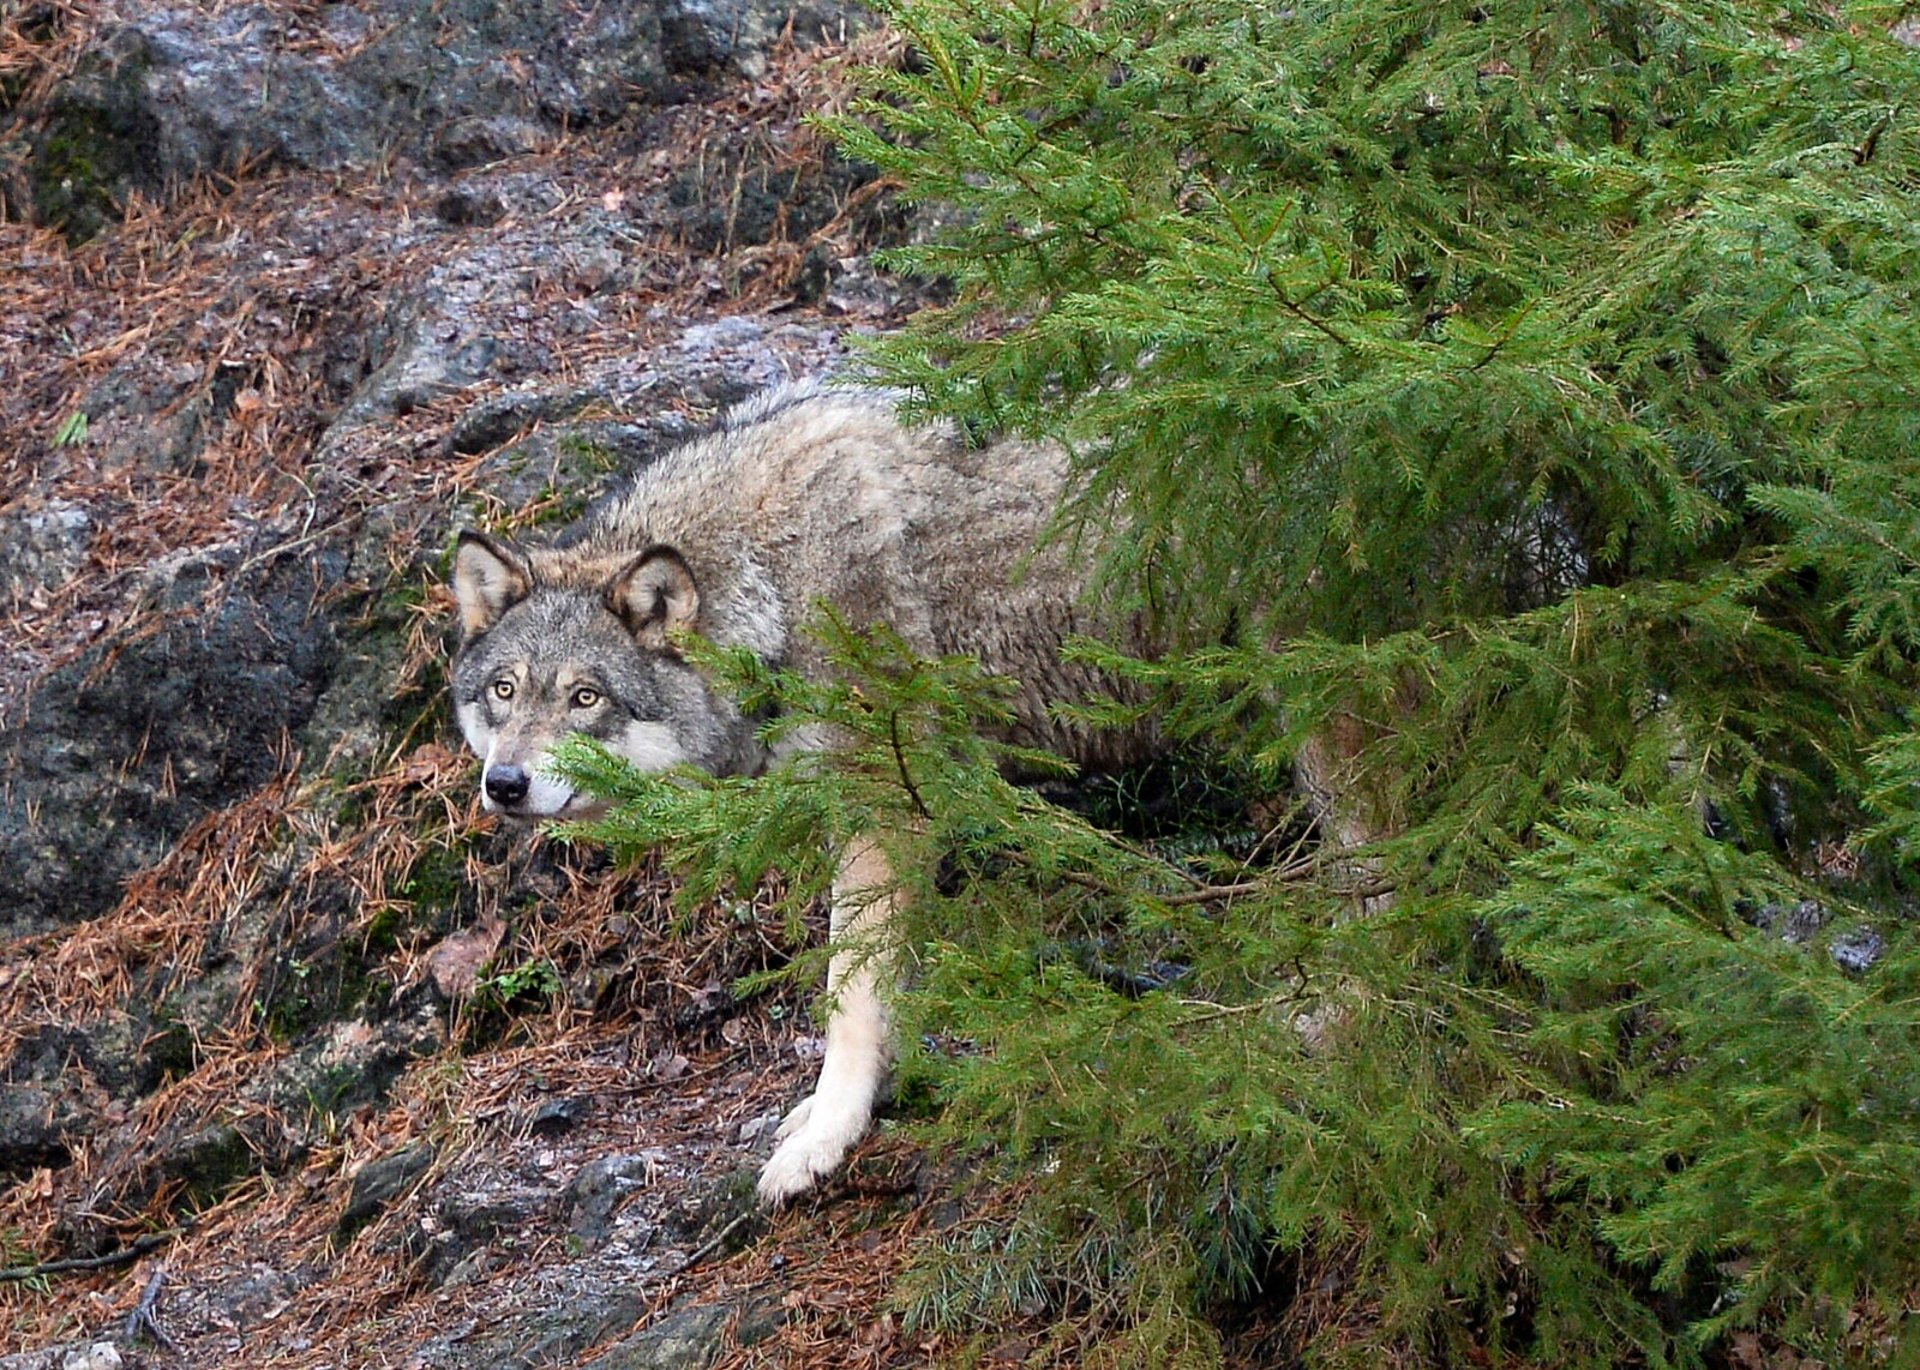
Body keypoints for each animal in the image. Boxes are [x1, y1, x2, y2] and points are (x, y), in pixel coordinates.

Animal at [445, 377, 1152, 1197]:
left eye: (585, 698)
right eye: (504, 690)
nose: (505, 784)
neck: (773, 583)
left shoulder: (881, 807)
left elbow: (851, 995)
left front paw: (828, 1136)